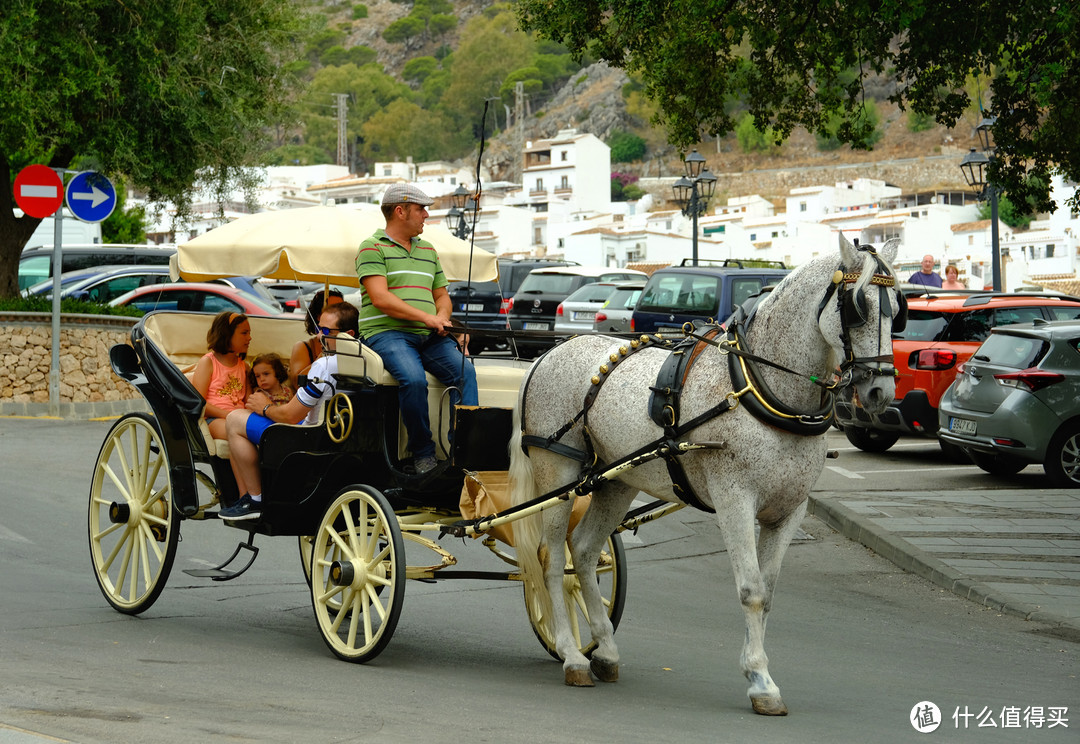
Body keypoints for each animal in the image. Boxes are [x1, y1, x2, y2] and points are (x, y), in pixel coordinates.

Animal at [505, 235, 902, 712]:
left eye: (898, 310)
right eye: (857, 307)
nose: (880, 390)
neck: (759, 385)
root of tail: (548, 353)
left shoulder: (790, 510)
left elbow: (768, 593)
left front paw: (760, 672)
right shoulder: (735, 500)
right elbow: (751, 590)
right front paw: (760, 680)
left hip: (616, 479)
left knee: (582, 550)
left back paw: (606, 649)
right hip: (560, 473)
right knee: (551, 558)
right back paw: (571, 654)